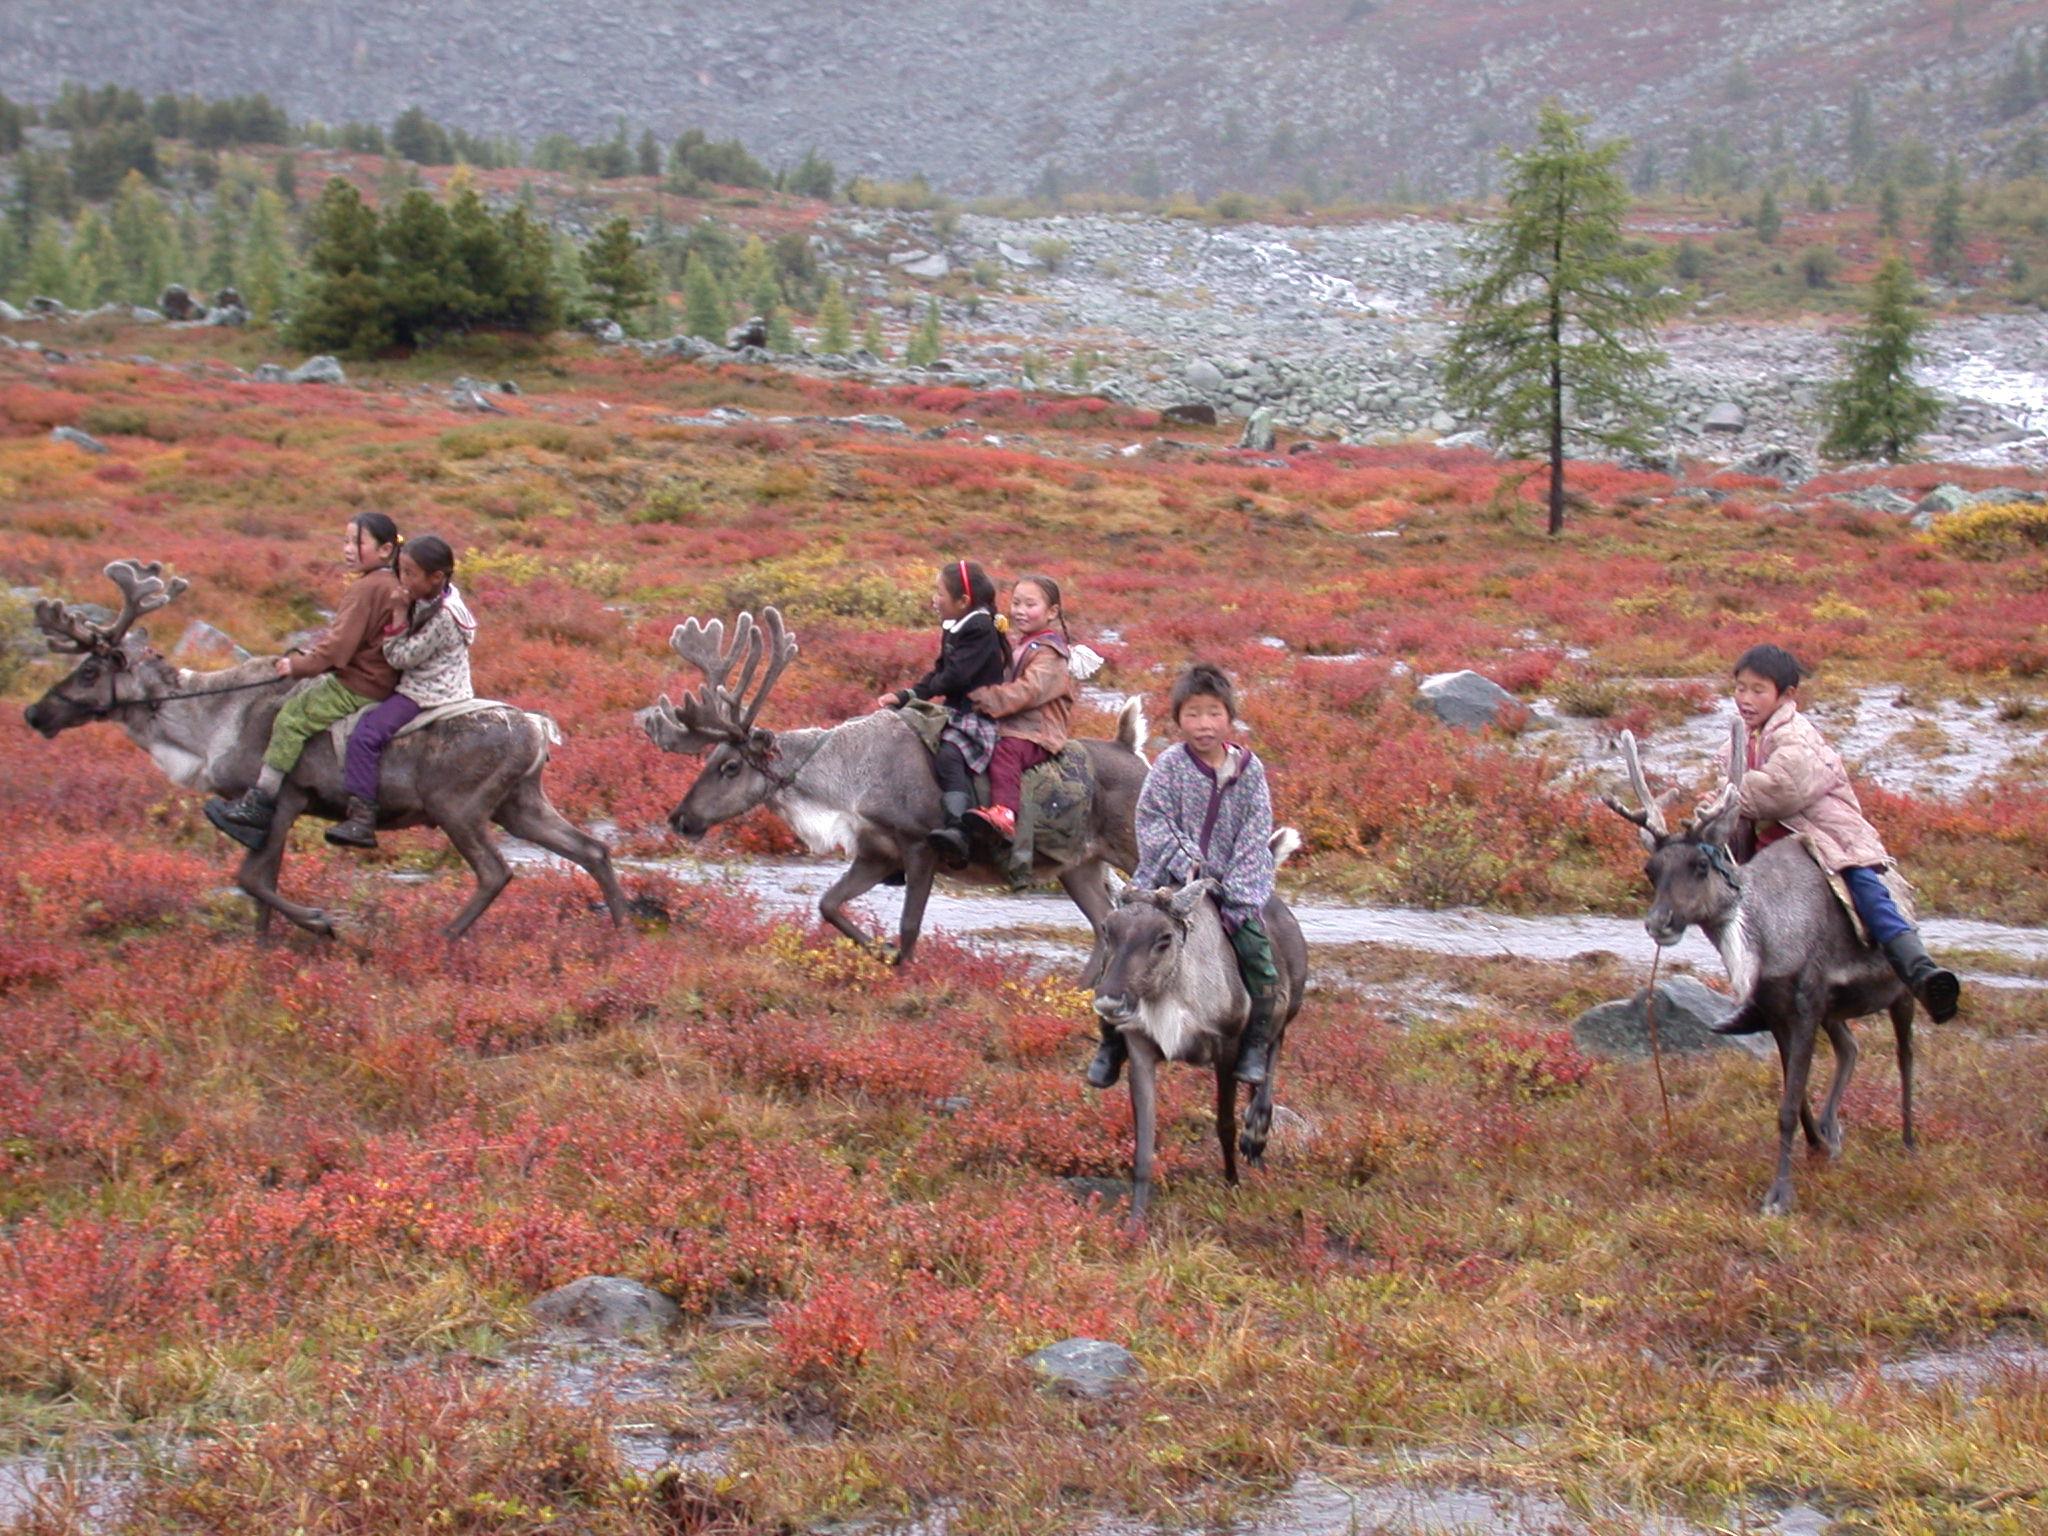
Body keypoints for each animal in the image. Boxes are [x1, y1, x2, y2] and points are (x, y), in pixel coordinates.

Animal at [23, 559, 630, 940]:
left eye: (90, 670)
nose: (34, 714)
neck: (208, 724)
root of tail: (539, 728)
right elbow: (259, 883)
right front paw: (262, 947)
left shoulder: (285, 795)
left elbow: (252, 879)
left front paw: (319, 923)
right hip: (520, 803)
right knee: (591, 849)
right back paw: (623, 928)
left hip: (457, 808)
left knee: (495, 871)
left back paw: (447, 935)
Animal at [638, 607, 1148, 964]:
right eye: (709, 759)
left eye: (729, 766)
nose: (679, 819)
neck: (846, 784)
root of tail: (1132, 748)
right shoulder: (876, 853)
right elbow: (828, 904)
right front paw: (873, 949)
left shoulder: (920, 845)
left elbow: (908, 928)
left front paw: (896, 962)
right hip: (1078, 865)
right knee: (1104, 926)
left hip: (1129, 850)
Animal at [1088, 831, 1309, 1225]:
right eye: (1107, 929)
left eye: (1163, 937)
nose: (1110, 1001)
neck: (1172, 996)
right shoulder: (1140, 1044)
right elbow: (1144, 1143)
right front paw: (1135, 1221)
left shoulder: (1228, 1043)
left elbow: (1225, 1124)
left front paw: (1232, 1183)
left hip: (1288, 1003)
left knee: (1270, 1054)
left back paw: (1257, 1132)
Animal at [1601, 723, 1918, 1217]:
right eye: (1650, 869)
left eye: (1701, 864)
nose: (1659, 923)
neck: (1766, 936)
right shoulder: (1778, 1010)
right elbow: (1796, 1094)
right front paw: (1818, 1144)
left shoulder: (1805, 1004)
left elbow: (1787, 1107)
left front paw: (1779, 1196)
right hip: (1836, 1011)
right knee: (1850, 1048)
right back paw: (1833, 1128)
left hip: (1899, 992)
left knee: (1905, 1055)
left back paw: (1907, 1141)